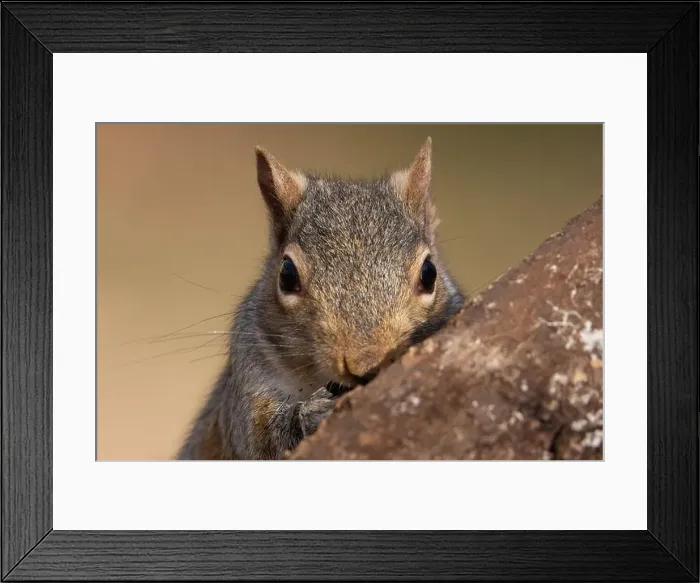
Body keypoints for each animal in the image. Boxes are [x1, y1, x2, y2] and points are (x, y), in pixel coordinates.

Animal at [176, 137, 465, 460]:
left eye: (429, 273)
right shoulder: (249, 381)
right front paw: (310, 413)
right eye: (287, 275)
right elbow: (261, 441)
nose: (366, 365)